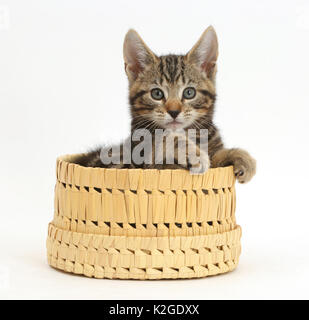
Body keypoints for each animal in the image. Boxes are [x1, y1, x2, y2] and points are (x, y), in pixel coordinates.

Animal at [74, 26, 255, 182]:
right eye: (157, 93)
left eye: (189, 92)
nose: (174, 111)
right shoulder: (131, 162)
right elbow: (164, 140)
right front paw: (194, 153)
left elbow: (216, 156)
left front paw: (240, 156)